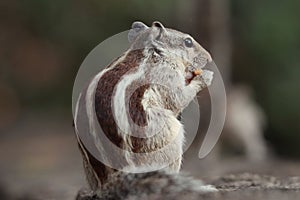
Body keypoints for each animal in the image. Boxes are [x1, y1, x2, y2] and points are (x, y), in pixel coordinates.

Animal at [74, 20, 214, 195]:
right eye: (188, 42)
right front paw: (206, 76)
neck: (151, 53)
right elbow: (178, 97)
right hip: (166, 138)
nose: (209, 58)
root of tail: (113, 179)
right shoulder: (166, 75)